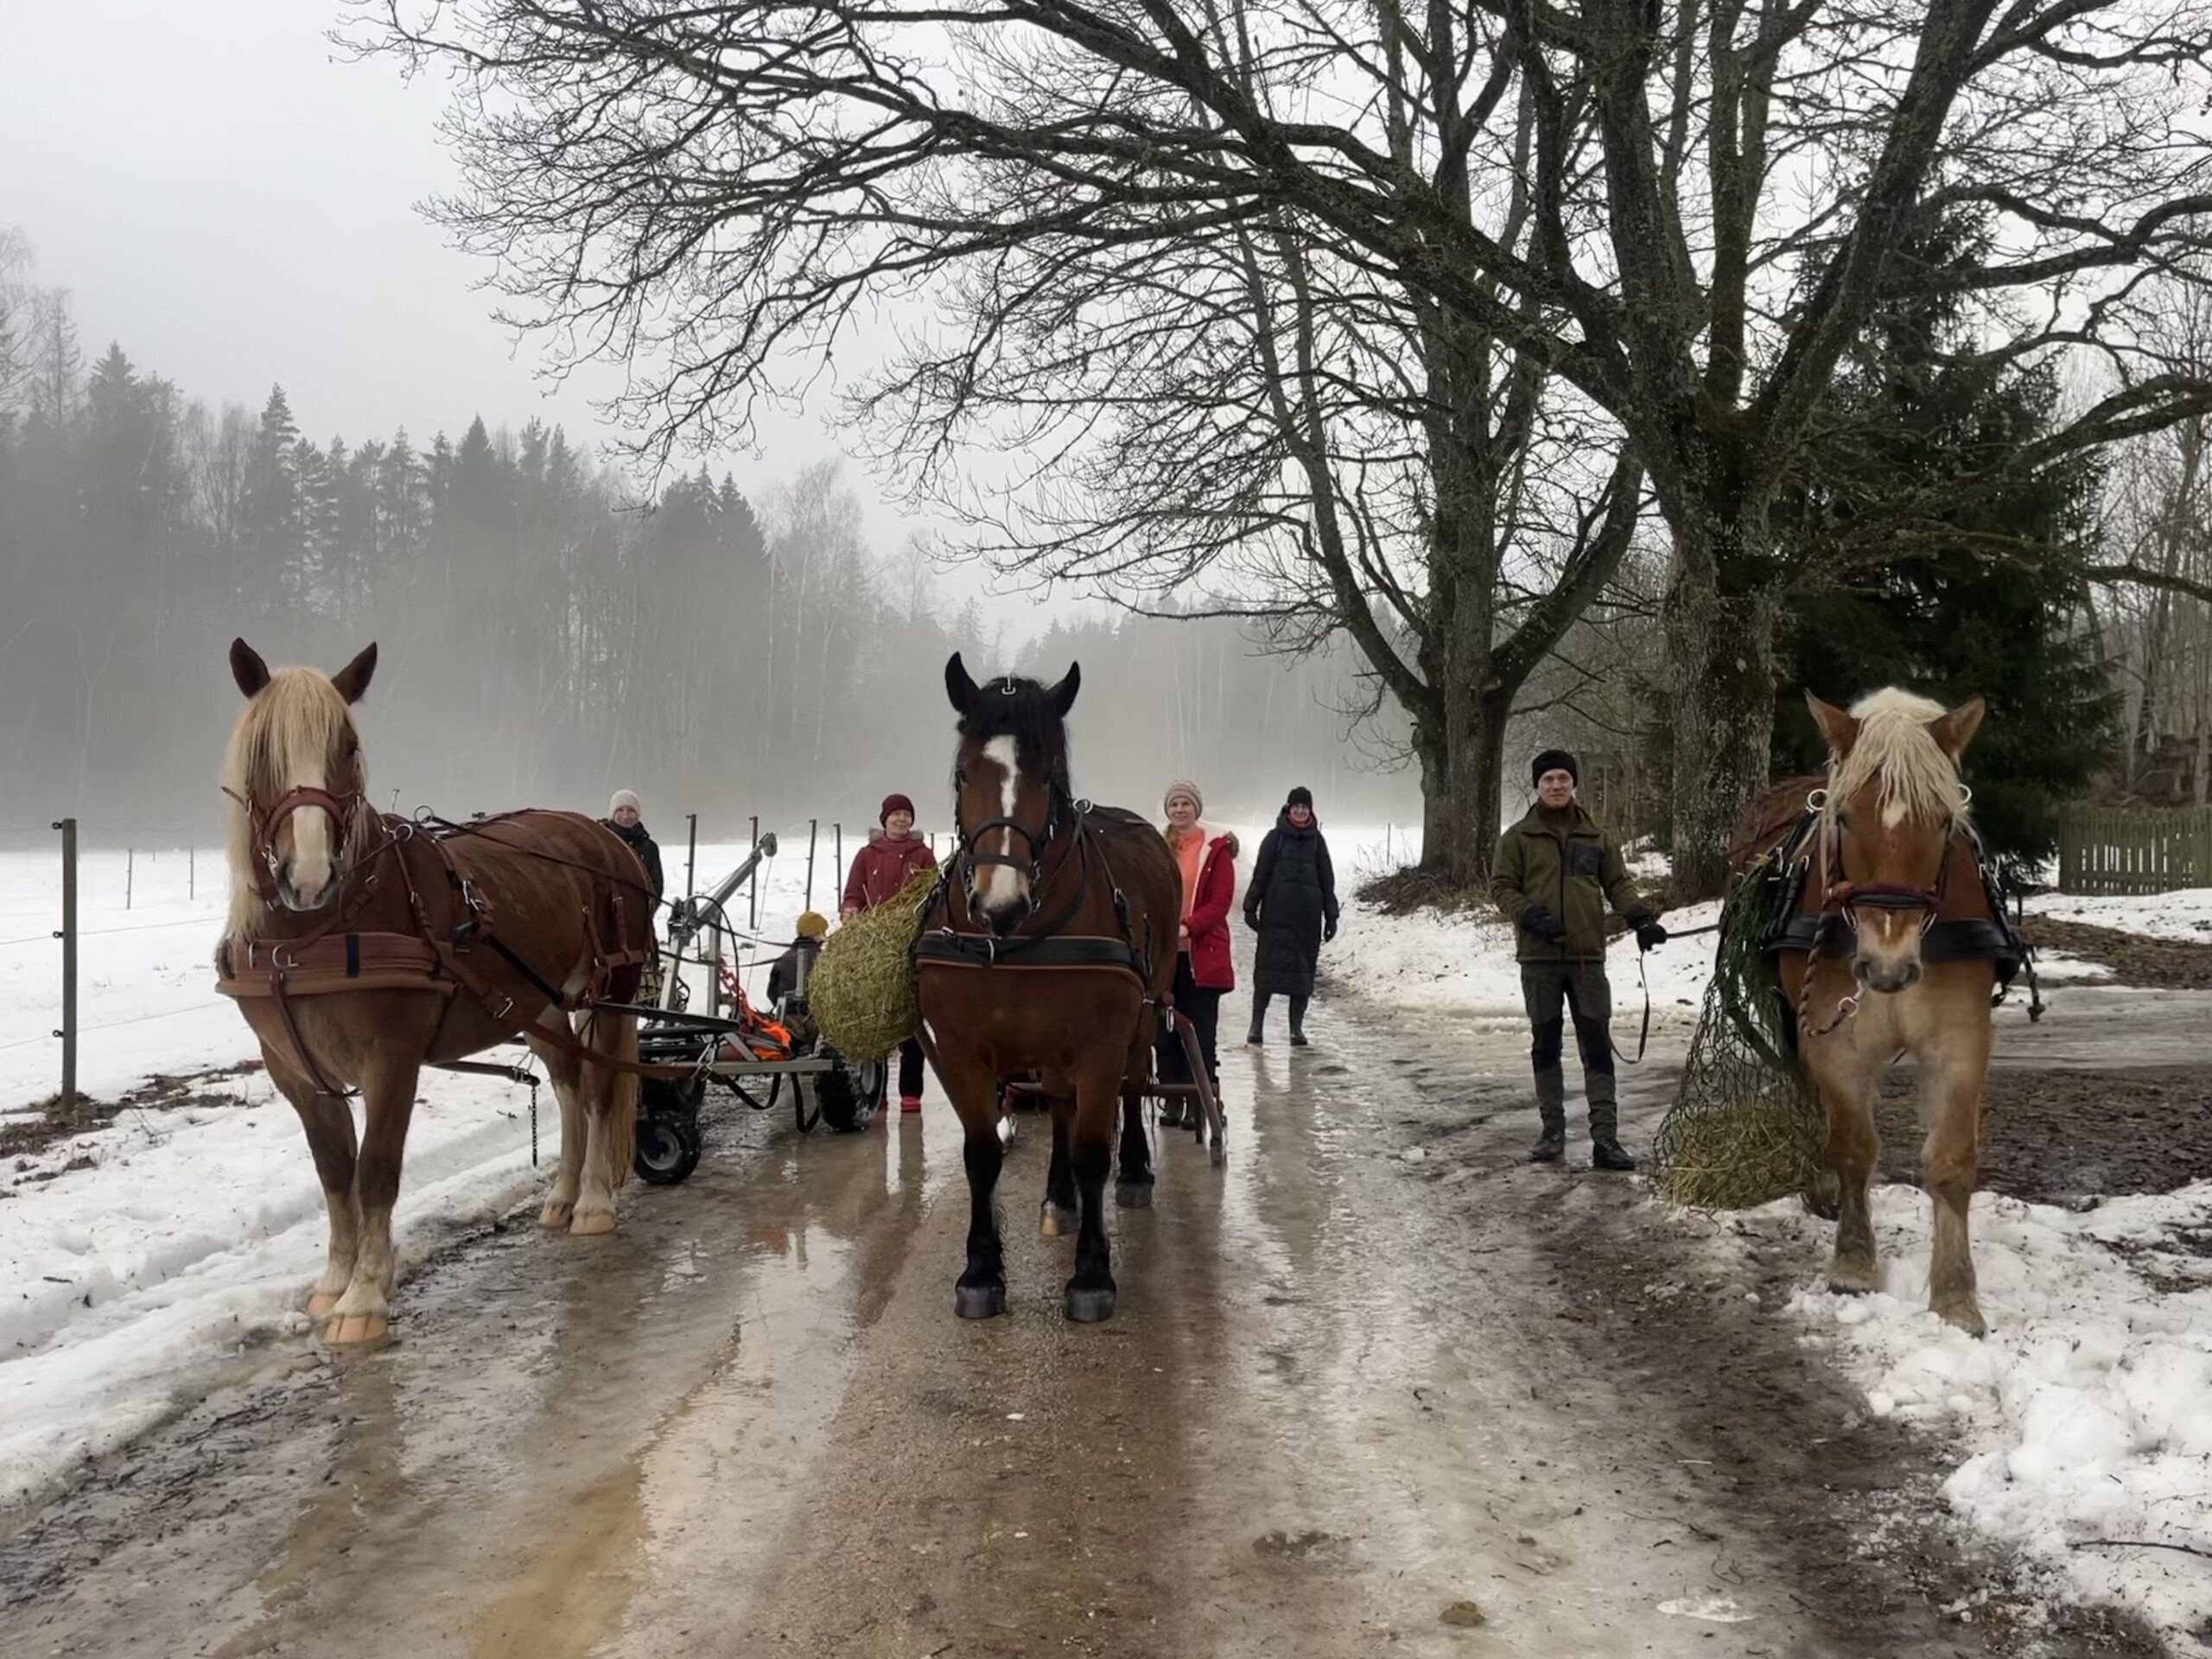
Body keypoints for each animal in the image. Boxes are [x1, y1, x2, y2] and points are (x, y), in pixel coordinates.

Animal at [216, 639, 652, 1343]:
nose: (308, 875)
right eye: (263, 750)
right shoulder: (296, 1073)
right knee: (567, 1082)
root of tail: (605, 835)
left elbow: (376, 1171)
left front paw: (364, 1297)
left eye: (348, 746)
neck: (313, 936)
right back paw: (560, 1194)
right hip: (539, 1002)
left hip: (607, 988)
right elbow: (334, 1173)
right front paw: (335, 1283)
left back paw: (590, 1201)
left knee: (598, 1090)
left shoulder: (391, 1059)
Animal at [913, 654, 1187, 1322]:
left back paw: (1133, 1172)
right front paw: (981, 1269)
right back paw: (1059, 1196)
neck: (1015, 943)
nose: (1000, 904)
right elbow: (982, 1152)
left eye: (1048, 776)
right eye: (964, 774)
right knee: (1060, 1104)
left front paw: (1091, 1272)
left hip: (1145, 1012)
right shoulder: (961, 1051)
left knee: (1133, 1084)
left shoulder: (1099, 1045)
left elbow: (1093, 1148)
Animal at [1735, 688, 2019, 1334]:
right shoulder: (1835, 1043)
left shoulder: (1960, 1041)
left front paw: (1955, 1297)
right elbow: (1853, 1147)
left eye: (1943, 821)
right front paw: (1854, 1265)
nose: (1887, 968)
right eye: (1843, 818)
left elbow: (1950, 1162)